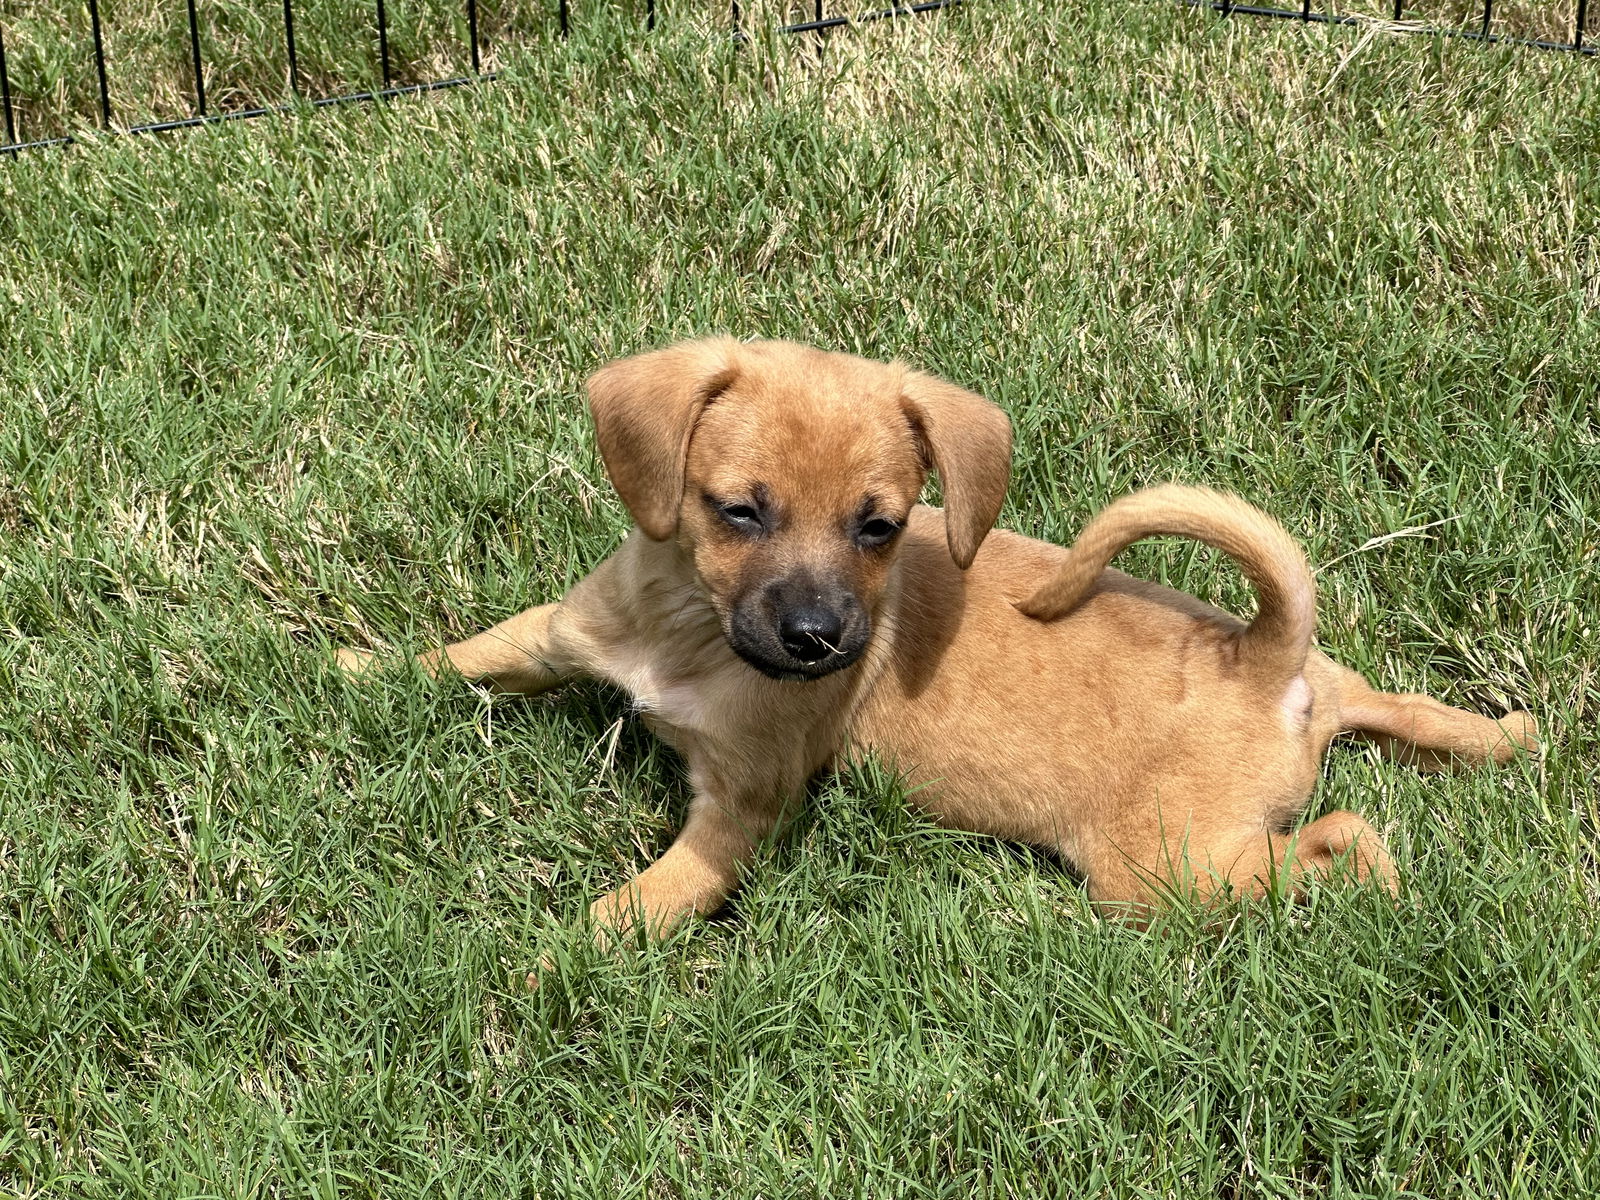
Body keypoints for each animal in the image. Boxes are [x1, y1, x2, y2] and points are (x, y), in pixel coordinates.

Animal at [340, 339, 1536, 947]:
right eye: (738, 511)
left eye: (880, 525)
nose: (819, 640)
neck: (689, 632)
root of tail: (1266, 656)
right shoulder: (561, 634)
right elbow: (467, 654)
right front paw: (349, 669)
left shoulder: (739, 814)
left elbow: (633, 908)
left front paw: (543, 969)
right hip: (1315, 712)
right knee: (1400, 710)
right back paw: (1506, 735)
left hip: (1168, 870)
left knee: (1342, 838)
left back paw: (1380, 885)